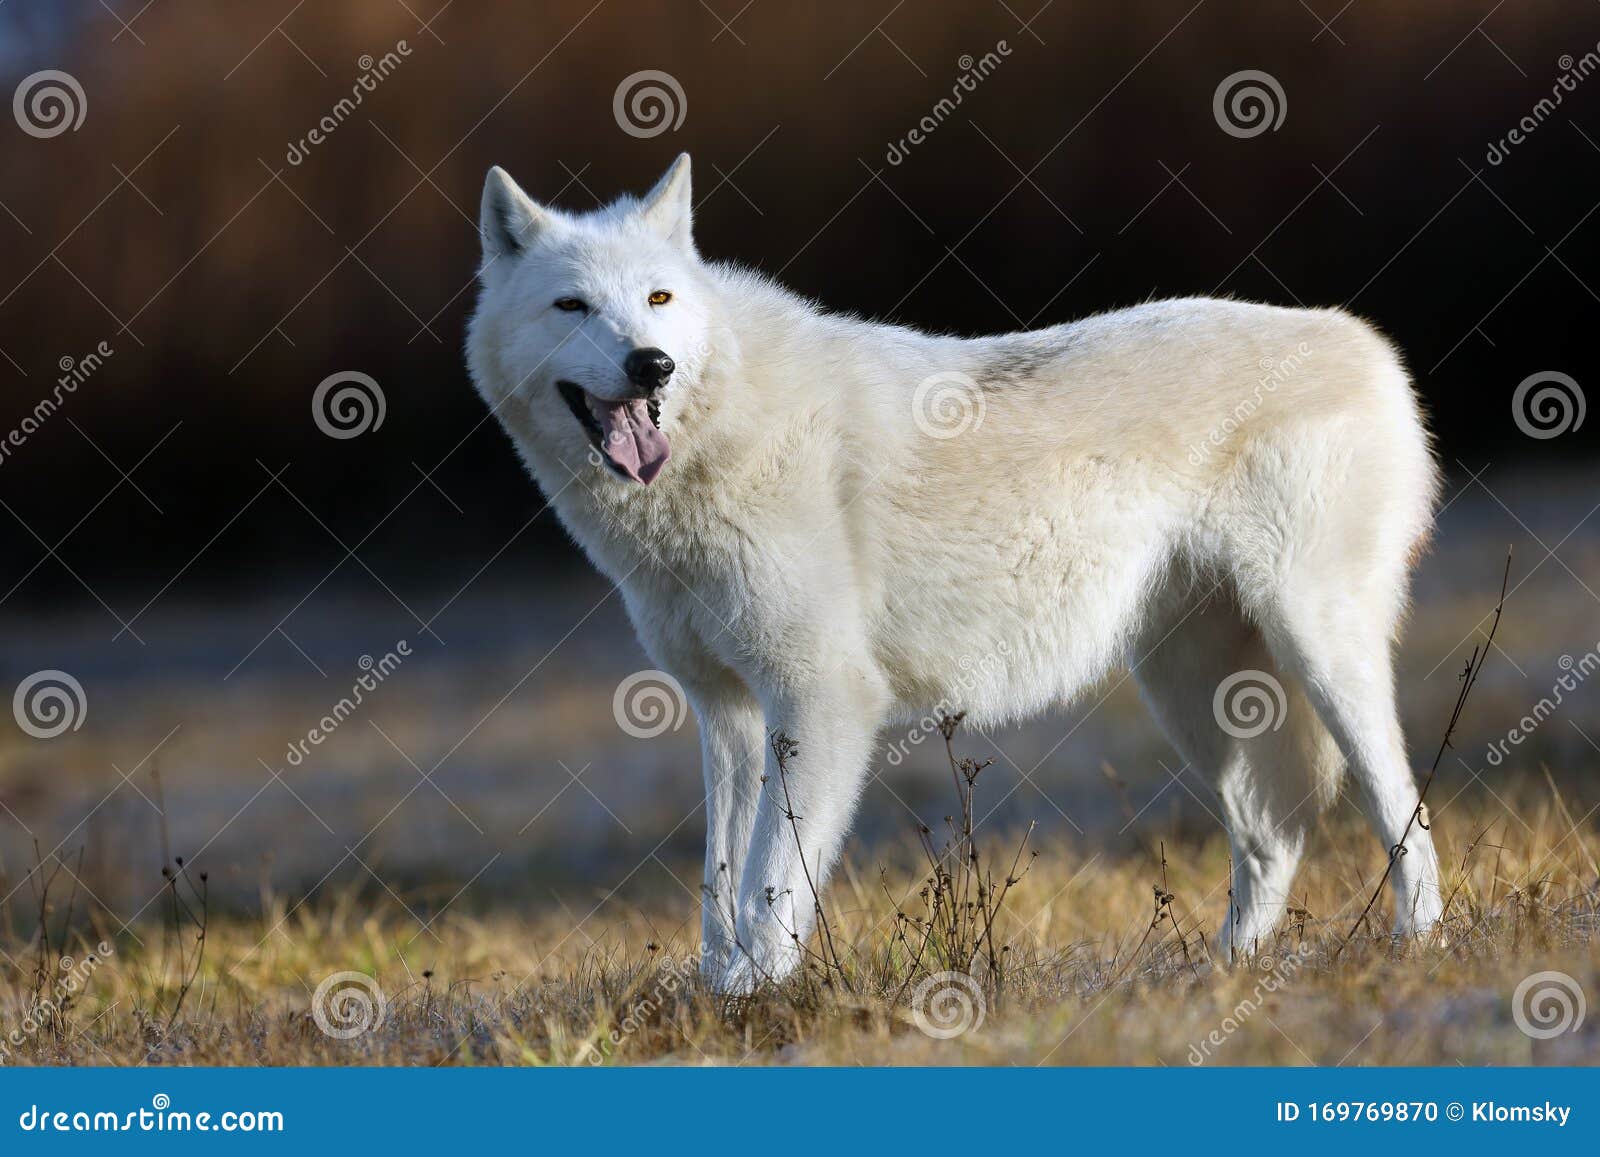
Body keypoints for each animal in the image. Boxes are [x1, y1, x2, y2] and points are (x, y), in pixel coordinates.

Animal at [467, 151, 1446, 985]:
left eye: (659, 297)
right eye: (571, 307)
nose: (651, 363)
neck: (719, 443)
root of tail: (1362, 339)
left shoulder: (823, 698)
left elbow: (770, 886)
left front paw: (757, 1003)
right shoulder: (729, 713)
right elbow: (719, 889)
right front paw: (714, 1002)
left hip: (1318, 655)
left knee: (1403, 809)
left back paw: (1416, 944)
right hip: (1197, 691)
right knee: (1274, 837)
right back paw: (1222, 973)